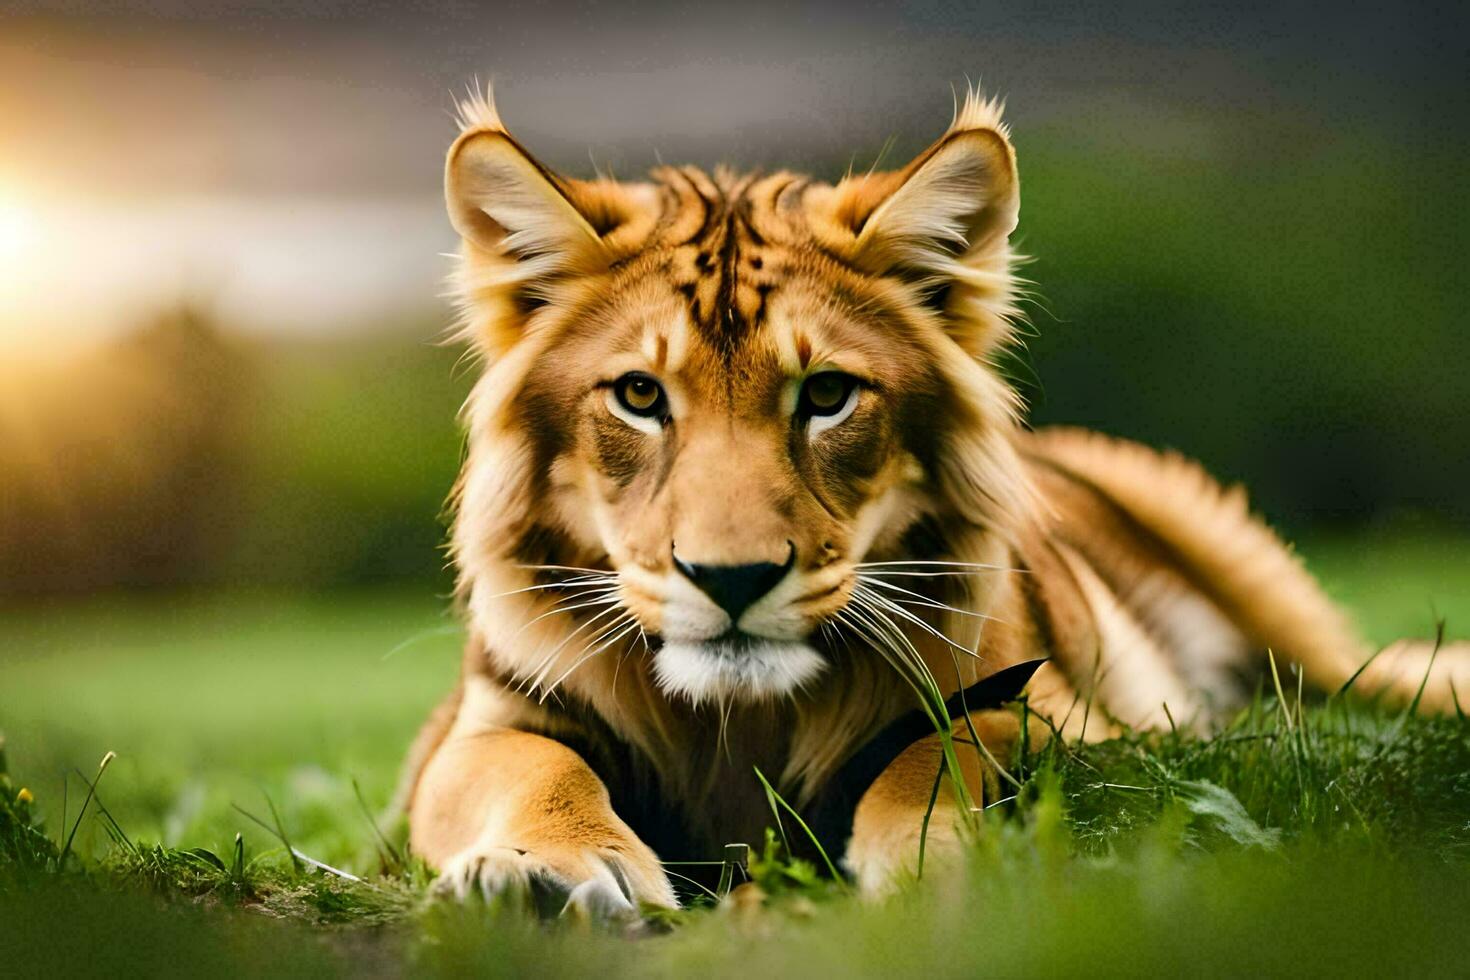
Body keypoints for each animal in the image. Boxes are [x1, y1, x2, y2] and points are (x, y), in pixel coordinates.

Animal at [396, 84, 1464, 922]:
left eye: (827, 394)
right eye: (639, 396)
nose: (732, 581)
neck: (741, 723)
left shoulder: (1069, 721)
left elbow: (943, 750)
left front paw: (931, 865)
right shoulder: (475, 729)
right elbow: (530, 770)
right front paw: (541, 877)